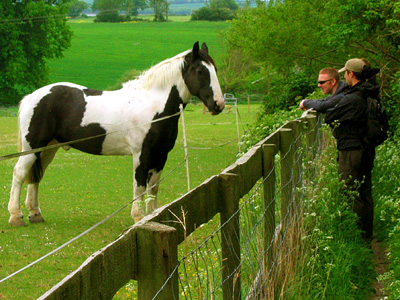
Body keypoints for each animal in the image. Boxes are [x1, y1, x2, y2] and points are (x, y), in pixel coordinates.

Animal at [7, 41, 225, 226]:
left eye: (214, 70)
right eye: (200, 71)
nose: (218, 105)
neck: (152, 106)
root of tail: (31, 97)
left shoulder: (160, 155)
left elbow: (154, 187)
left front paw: (154, 214)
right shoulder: (141, 154)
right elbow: (139, 185)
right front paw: (138, 217)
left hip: (48, 148)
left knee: (36, 176)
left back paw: (35, 214)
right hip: (32, 147)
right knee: (19, 173)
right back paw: (16, 216)